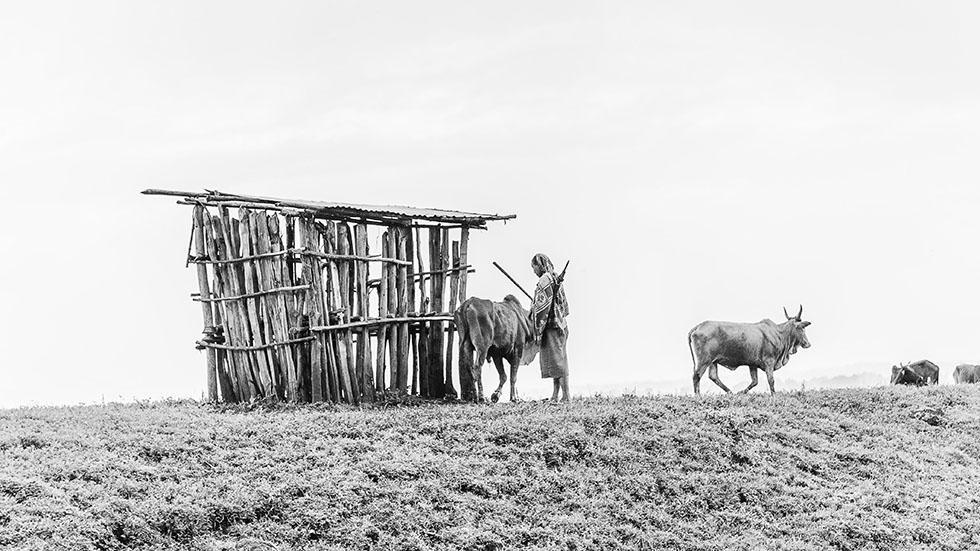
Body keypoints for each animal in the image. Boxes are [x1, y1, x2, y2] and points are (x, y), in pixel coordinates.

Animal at [684, 308, 816, 394]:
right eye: (801, 328)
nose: (808, 344)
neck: (779, 334)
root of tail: (698, 326)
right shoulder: (769, 362)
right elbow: (771, 380)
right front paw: (774, 396)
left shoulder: (752, 364)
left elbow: (754, 382)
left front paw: (741, 393)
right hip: (704, 360)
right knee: (696, 376)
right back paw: (698, 396)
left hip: (713, 361)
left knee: (713, 376)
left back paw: (730, 392)